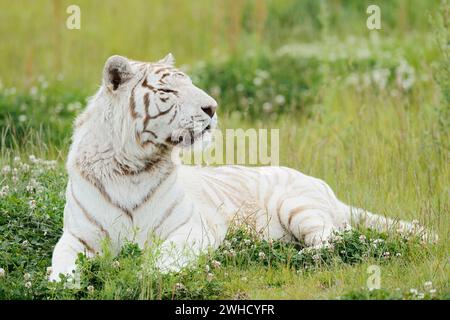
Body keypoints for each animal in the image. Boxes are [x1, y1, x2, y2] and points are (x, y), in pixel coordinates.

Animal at [48, 54, 428, 280]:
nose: (212, 107)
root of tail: (329, 191)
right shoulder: (77, 236)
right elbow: (61, 266)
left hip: (297, 204)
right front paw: (64, 284)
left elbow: (161, 261)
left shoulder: (193, 228)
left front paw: (140, 275)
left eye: (189, 83)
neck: (131, 167)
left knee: (331, 240)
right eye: (169, 91)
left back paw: (291, 254)